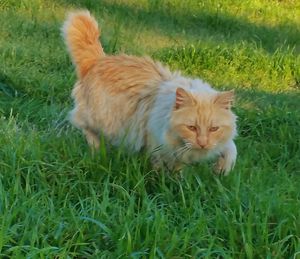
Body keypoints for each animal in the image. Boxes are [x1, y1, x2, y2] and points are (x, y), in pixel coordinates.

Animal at [62, 11, 238, 176]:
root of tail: (98, 60)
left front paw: (222, 169)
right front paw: (168, 182)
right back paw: (97, 152)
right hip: (101, 121)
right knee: (83, 126)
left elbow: (231, 149)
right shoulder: (158, 144)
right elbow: (164, 168)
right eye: (192, 128)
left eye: (214, 129)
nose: (203, 143)